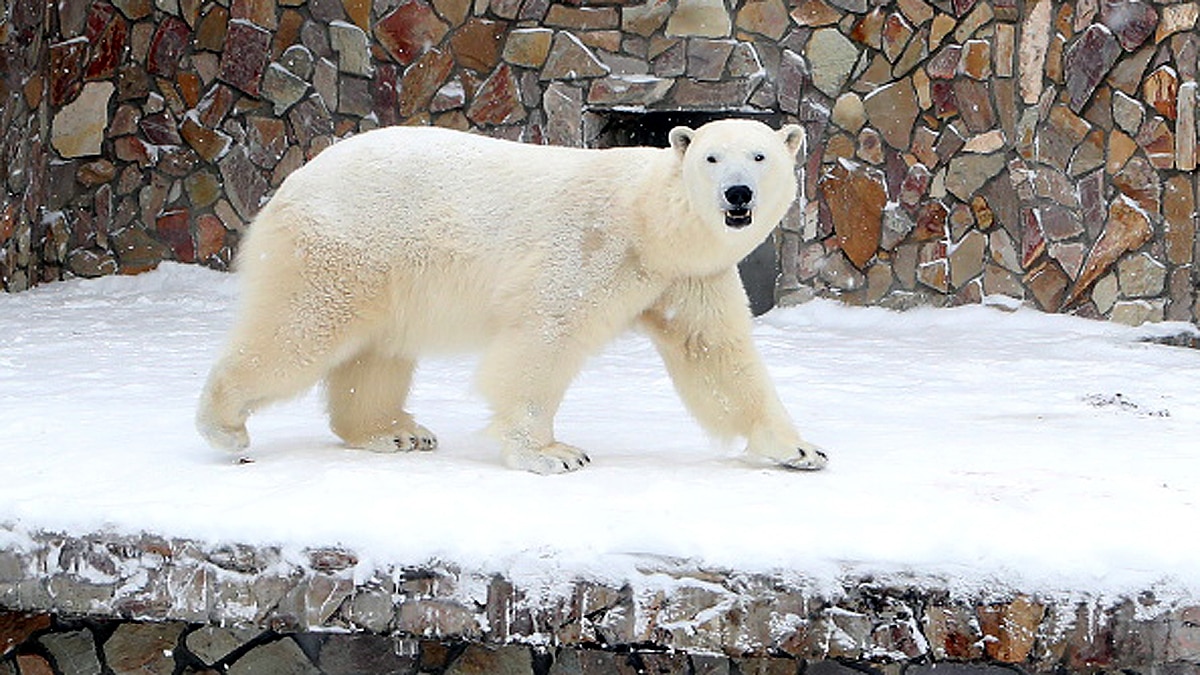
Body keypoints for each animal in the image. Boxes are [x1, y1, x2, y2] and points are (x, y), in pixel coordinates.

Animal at [196, 119, 829, 475]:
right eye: (710, 157)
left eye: (761, 156)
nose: (737, 194)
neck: (649, 223)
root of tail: (293, 181)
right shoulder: (589, 247)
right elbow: (544, 338)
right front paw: (551, 453)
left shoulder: (687, 276)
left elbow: (717, 356)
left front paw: (799, 450)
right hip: (346, 247)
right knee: (300, 328)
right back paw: (225, 425)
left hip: (385, 271)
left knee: (375, 354)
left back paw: (394, 431)